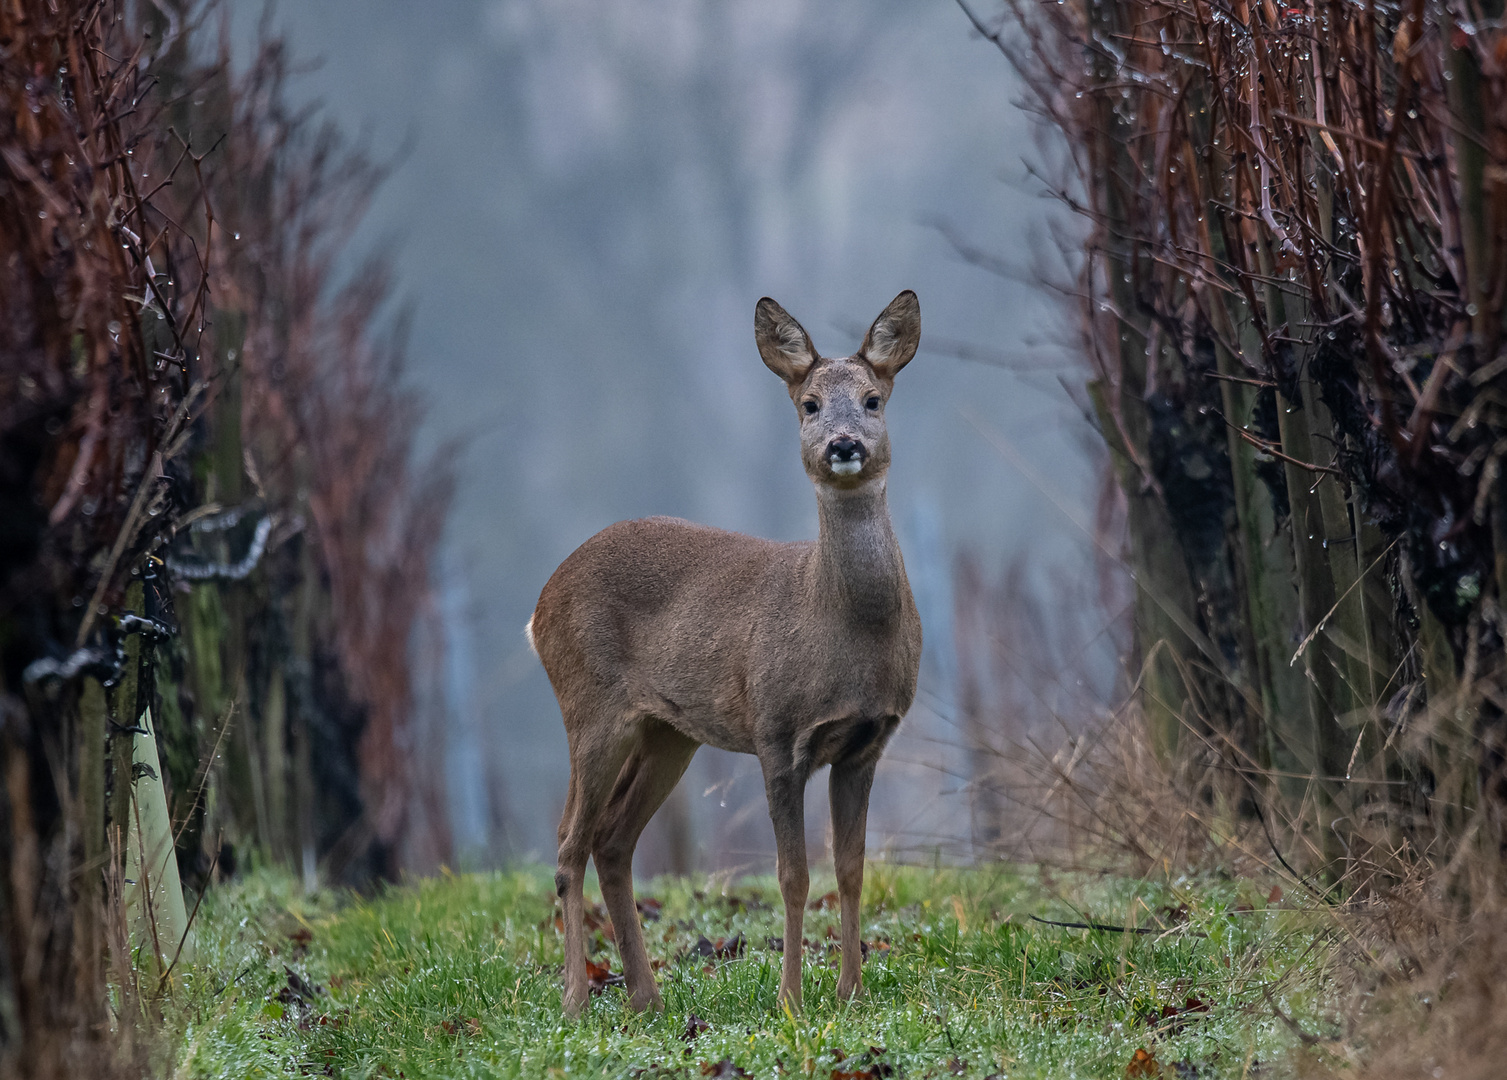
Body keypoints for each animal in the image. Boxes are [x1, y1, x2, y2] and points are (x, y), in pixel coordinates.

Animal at [530, 286, 928, 1012]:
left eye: (873, 398)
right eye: (808, 404)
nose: (844, 443)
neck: (843, 628)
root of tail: (541, 603)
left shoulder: (867, 741)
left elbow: (852, 870)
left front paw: (851, 992)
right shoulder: (777, 731)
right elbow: (793, 875)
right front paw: (792, 1000)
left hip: (668, 732)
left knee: (612, 839)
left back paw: (646, 997)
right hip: (589, 705)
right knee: (570, 842)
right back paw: (576, 997)